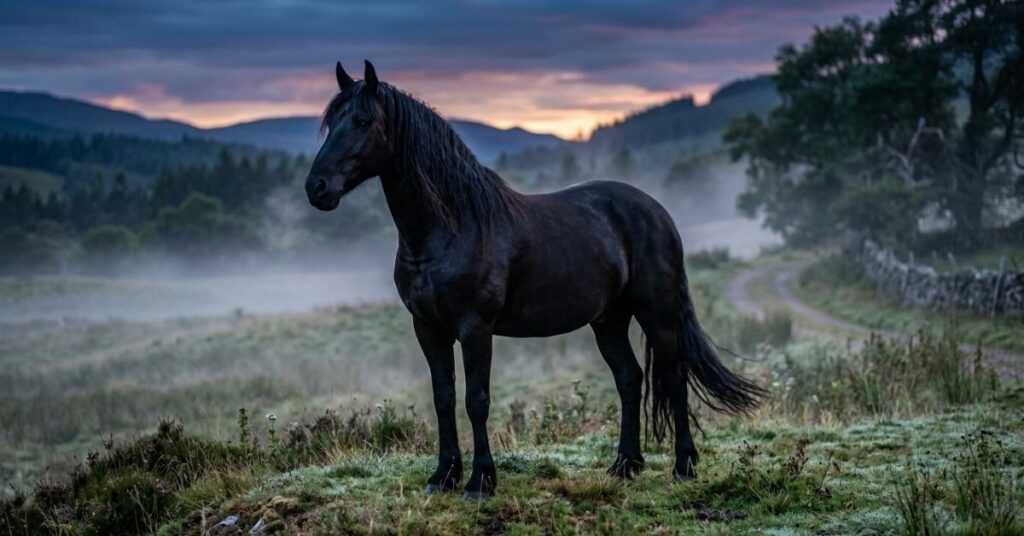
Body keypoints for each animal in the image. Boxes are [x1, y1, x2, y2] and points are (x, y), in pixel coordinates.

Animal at [305, 60, 765, 500]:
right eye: (331, 122)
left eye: (362, 121)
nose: (317, 188)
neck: (453, 225)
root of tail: (656, 210)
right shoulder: (428, 328)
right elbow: (443, 398)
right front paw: (443, 477)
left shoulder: (475, 327)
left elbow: (476, 400)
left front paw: (480, 483)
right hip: (609, 320)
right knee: (630, 379)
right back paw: (624, 466)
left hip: (658, 313)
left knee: (672, 377)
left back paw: (683, 467)